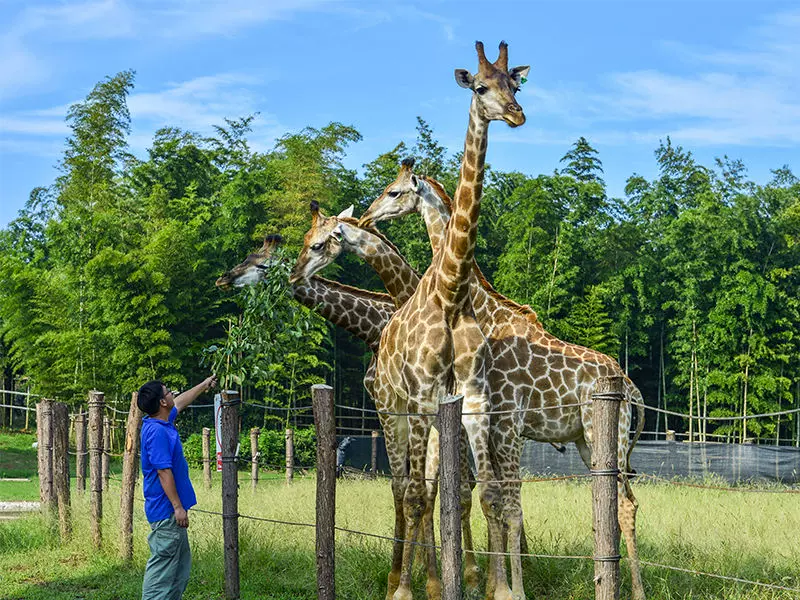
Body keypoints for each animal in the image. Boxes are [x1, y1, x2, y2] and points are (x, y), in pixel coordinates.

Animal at [360, 157, 648, 596]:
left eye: (393, 192)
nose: (367, 215)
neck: (483, 308)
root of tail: (631, 389)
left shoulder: (504, 421)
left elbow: (504, 504)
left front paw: (508, 587)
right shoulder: (491, 422)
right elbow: (489, 500)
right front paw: (494, 582)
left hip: (604, 436)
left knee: (624, 502)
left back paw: (634, 589)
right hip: (587, 441)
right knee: (619, 501)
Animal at [372, 42, 528, 600]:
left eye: (515, 84)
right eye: (480, 87)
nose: (517, 114)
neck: (451, 290)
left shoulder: (474, 399)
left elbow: (484, 495)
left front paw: (496, 587)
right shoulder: (421, 396)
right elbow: (423, 493)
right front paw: (414, 588)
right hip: (392, 409)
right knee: (404, 487)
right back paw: (399, 578)